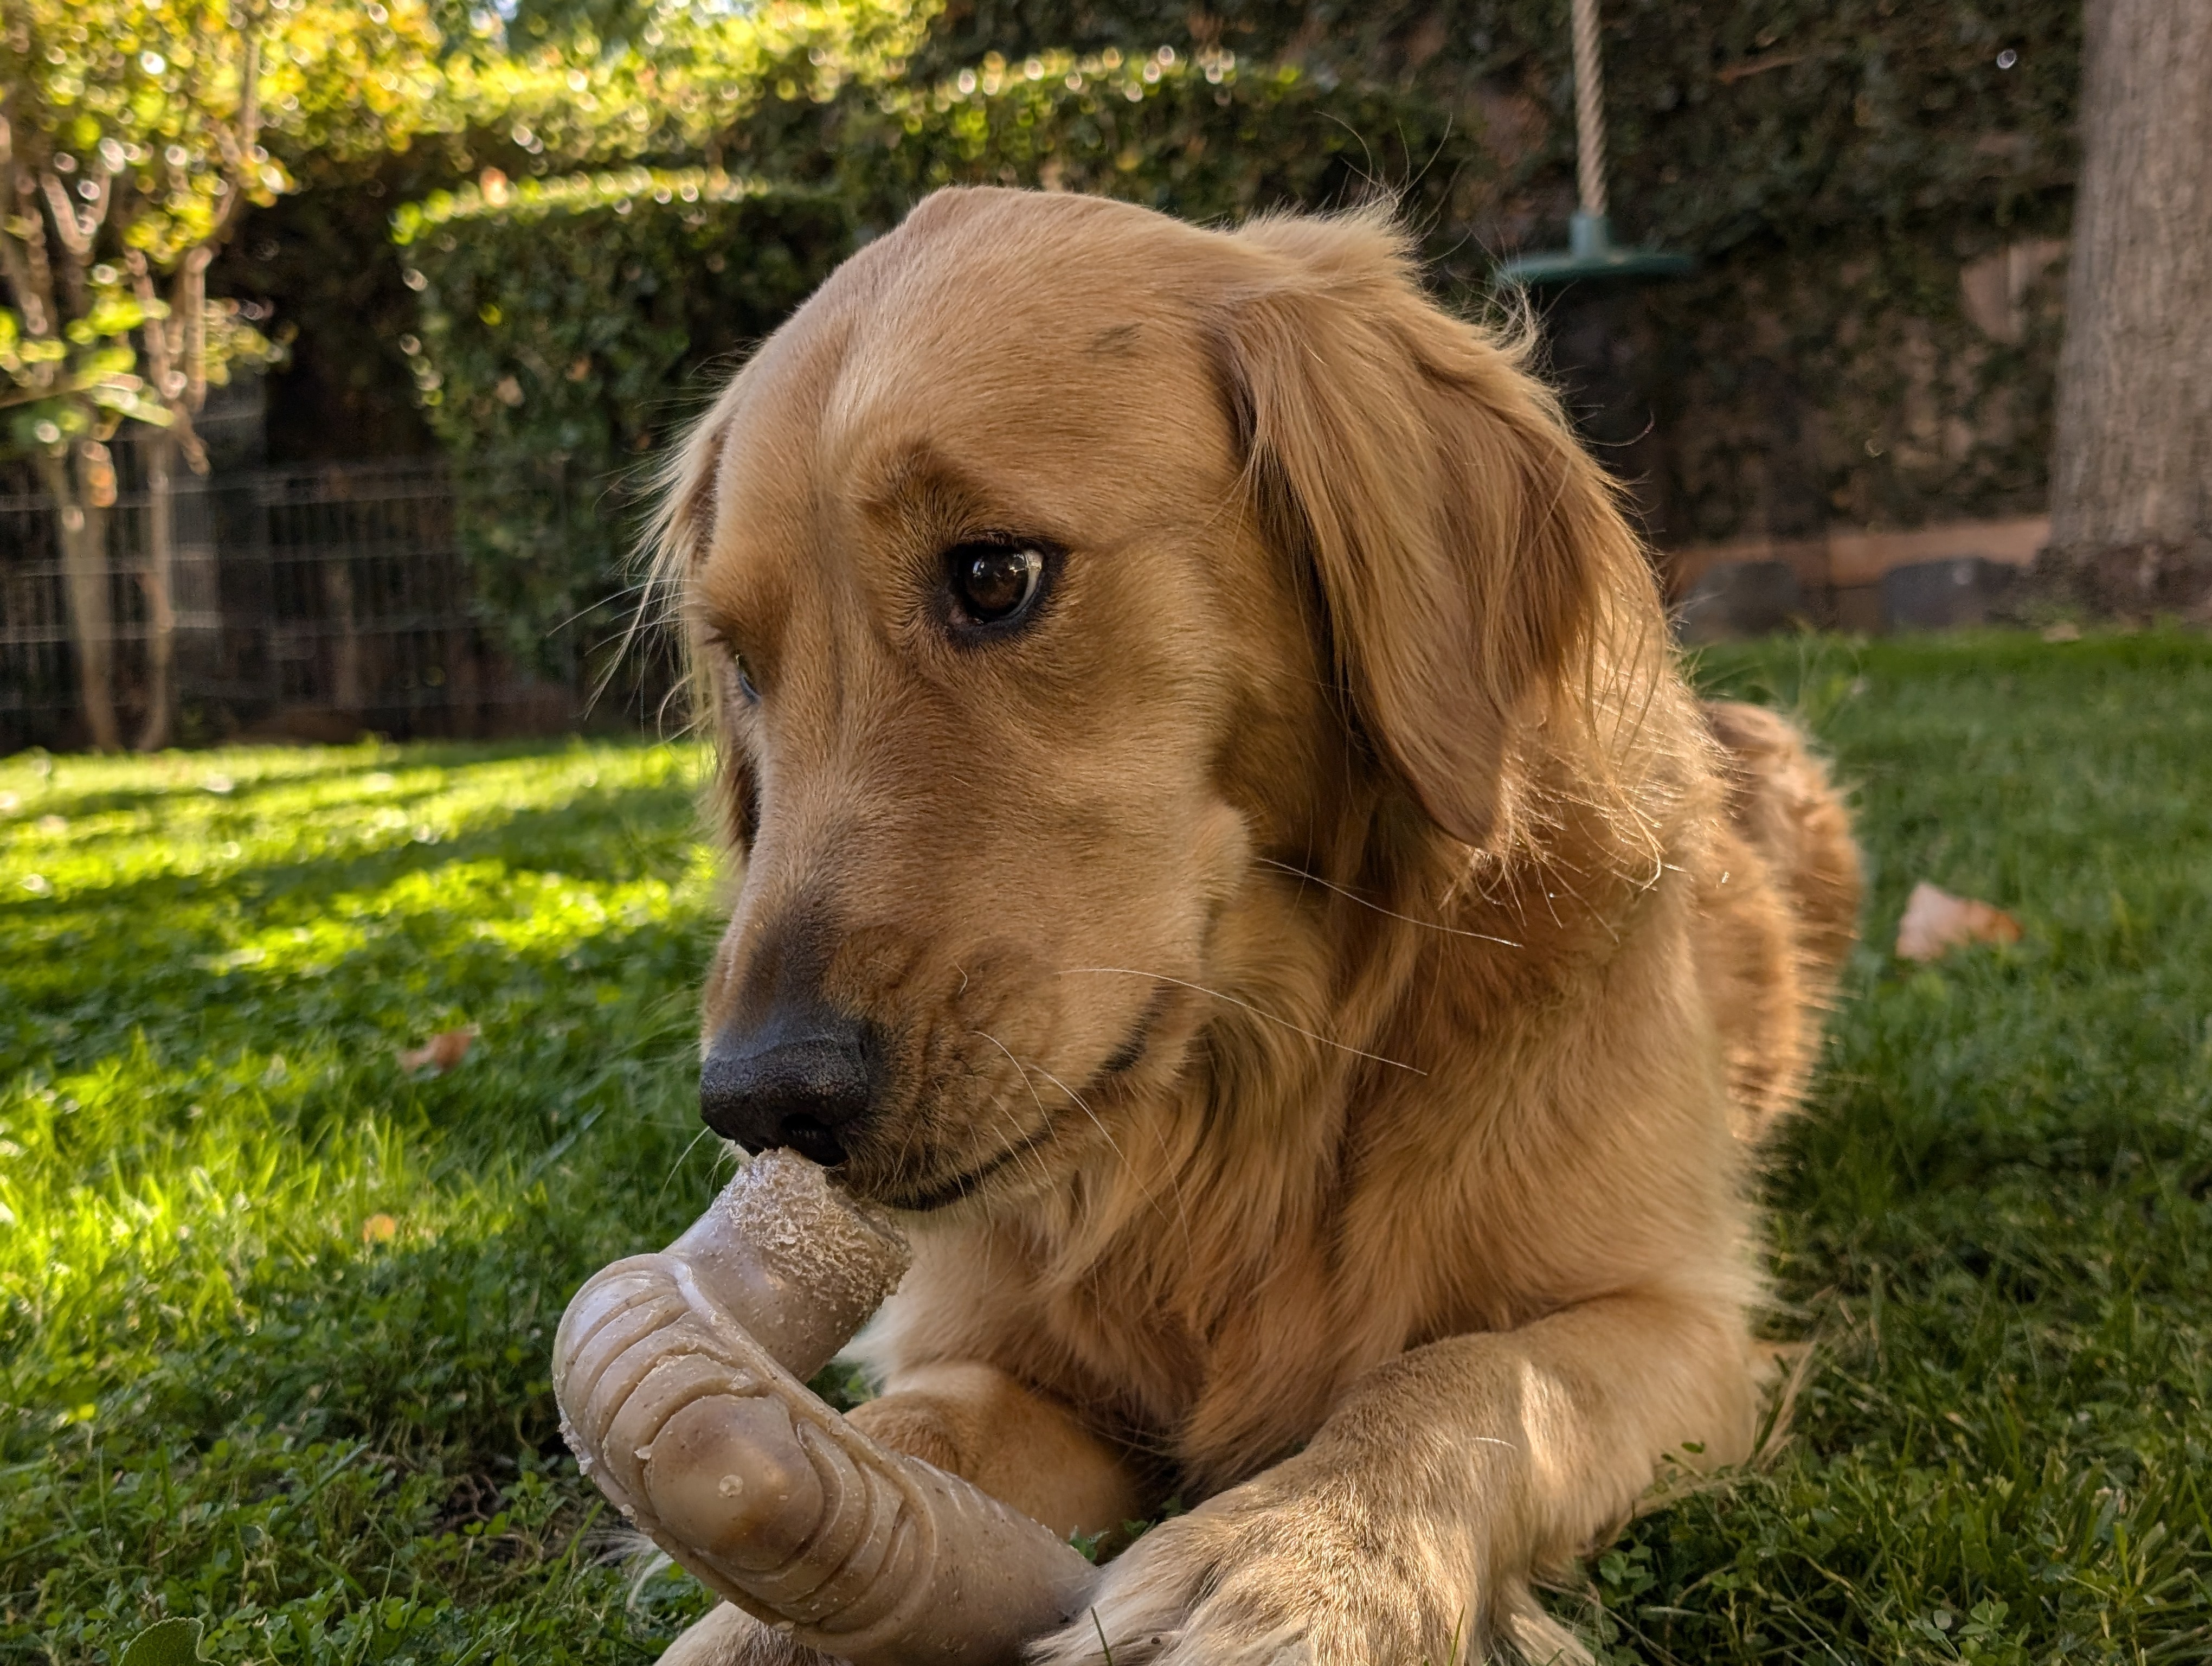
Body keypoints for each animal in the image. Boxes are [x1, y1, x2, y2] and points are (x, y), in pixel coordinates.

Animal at [646, 188, 1858, 1655]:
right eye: (742, 663)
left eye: (993, 574)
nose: (760, 1098)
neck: (1244, 1106)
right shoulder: (1004, 1356)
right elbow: (913, 1429)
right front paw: (761, 1608)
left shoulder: (1678, 1318)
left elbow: (1473, 1374)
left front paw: (1303, 1557)